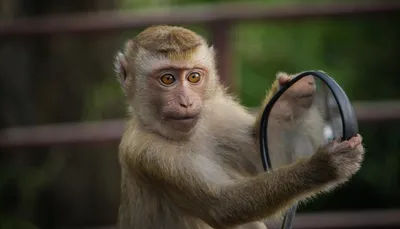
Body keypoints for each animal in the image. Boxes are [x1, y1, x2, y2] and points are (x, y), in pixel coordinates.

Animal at [113, 25, 366, 229]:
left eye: (194, 77)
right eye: (167, 79)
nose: (186, 102)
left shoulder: (219, 113)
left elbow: (262, 155)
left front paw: (289, 96)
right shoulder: (147, 153)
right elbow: (223, 206)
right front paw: (323, 166)